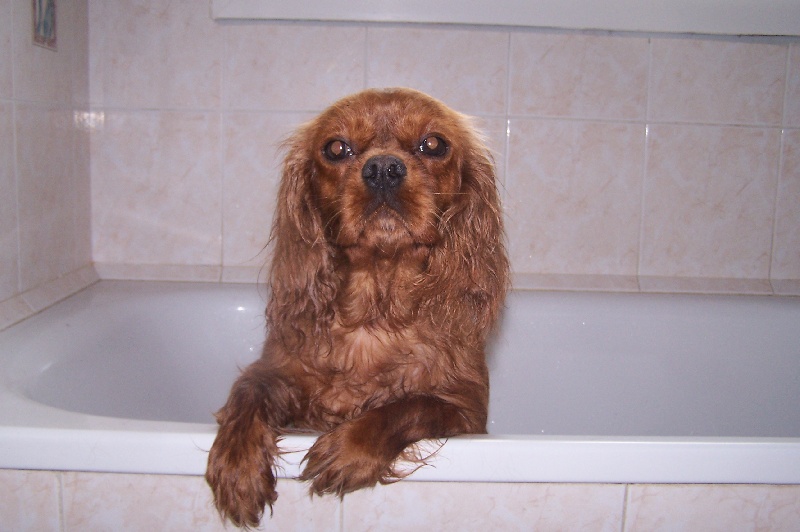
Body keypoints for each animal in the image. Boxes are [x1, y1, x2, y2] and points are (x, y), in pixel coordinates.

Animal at [206, 88, 509, 527]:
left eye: (434, 144)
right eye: (336, 148)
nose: (383, 167)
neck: (374, 311)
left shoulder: (465, 411)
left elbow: (409, 406)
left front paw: (350, 448)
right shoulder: (278, 373)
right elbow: (248, 393)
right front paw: (237, 464)